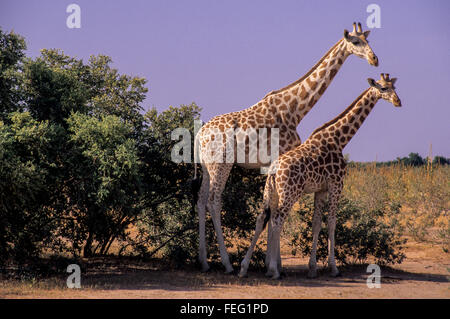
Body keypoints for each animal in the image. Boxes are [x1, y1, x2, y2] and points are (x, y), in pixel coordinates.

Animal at [192, 22, 376, 274]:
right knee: (213, 201)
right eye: (356, 42)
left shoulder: (274, 164)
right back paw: (227, 264)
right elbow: (275, 212)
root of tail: (199, 134)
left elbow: (271, 209)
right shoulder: (280, 157)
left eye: (369, 41)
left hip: (206, 166)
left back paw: (203, 262)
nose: (374, 59)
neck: (296, 108)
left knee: (201, 200)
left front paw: (272, 263)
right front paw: (274, 265)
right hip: (221, 164)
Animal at [239, 74, 400, 278]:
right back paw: (274, 270)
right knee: (277, 221)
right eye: (384, 88)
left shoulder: (320, 190)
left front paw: (313, 268)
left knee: (262, 219)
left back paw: (245, 267)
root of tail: (274, 170)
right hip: (290, 193)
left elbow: (316, 224)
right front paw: (334, 268)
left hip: (270, 192)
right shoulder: (336, 185)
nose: (398, 101)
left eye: (395, 87)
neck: (339, 140)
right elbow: (331, 223)